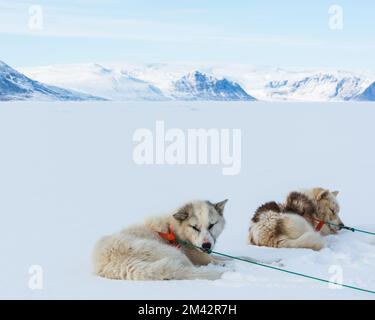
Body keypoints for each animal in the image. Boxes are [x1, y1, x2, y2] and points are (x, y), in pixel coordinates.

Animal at [93, 200, 229, 280]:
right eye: (194, 227)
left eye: (211, 225)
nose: (206, 245)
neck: (173, 230)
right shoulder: (197, 256)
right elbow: (215, 260)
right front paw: (222, 263)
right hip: (175, 253)